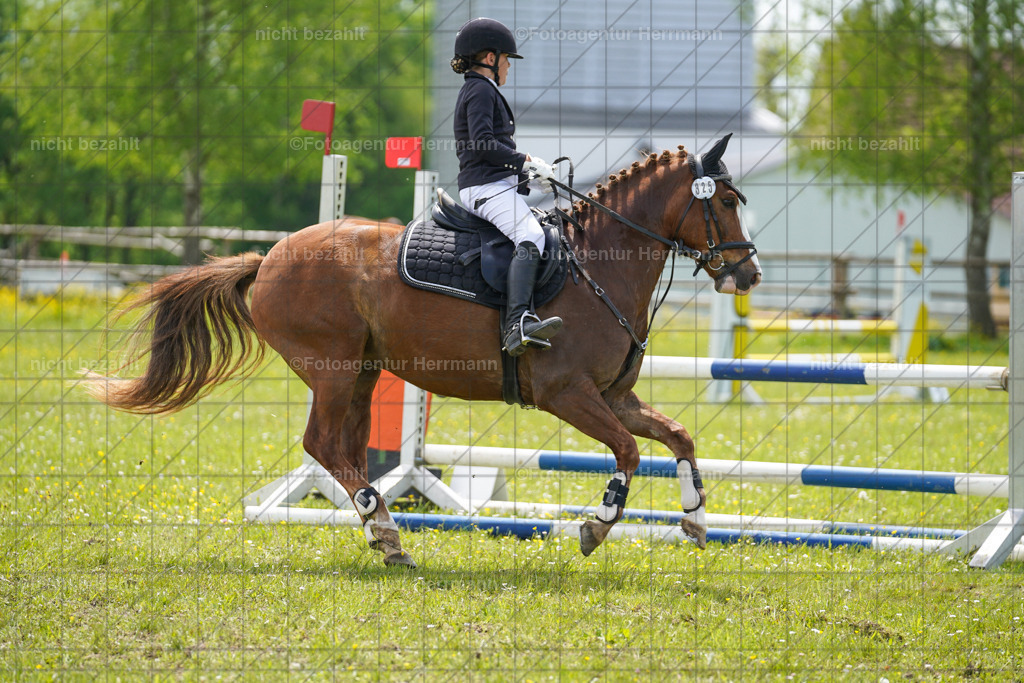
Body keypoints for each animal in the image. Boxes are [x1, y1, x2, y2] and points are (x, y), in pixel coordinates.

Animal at [84, 135, 761, 567]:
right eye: (726, 202)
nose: (747, 275)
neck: (597, 265)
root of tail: (269, 256)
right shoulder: (568, 394)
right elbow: (628, 452)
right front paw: (596, 526)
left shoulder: (615, 395)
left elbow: (677, 436)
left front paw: (696, 518)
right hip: (332, 371)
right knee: (323, 445)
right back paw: (386, 532)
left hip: (361, 373)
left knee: (344, 448)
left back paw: (383, 533)